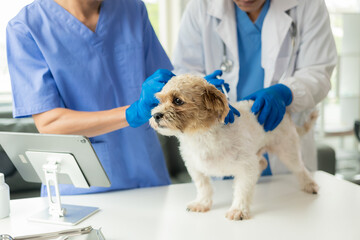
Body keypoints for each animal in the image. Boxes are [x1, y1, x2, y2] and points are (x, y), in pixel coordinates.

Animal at [150, 74, 320, 220]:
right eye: (159, 101)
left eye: (178, 100)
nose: (155, 115)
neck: (201, 136)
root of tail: (286, 112)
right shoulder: (195, 167)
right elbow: (204, 187)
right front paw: (202, 203)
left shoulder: (246, 166)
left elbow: (242, 189)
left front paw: (239, 210)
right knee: (263, 162)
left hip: (287, 150)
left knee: (300, 168)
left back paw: (309, 184)